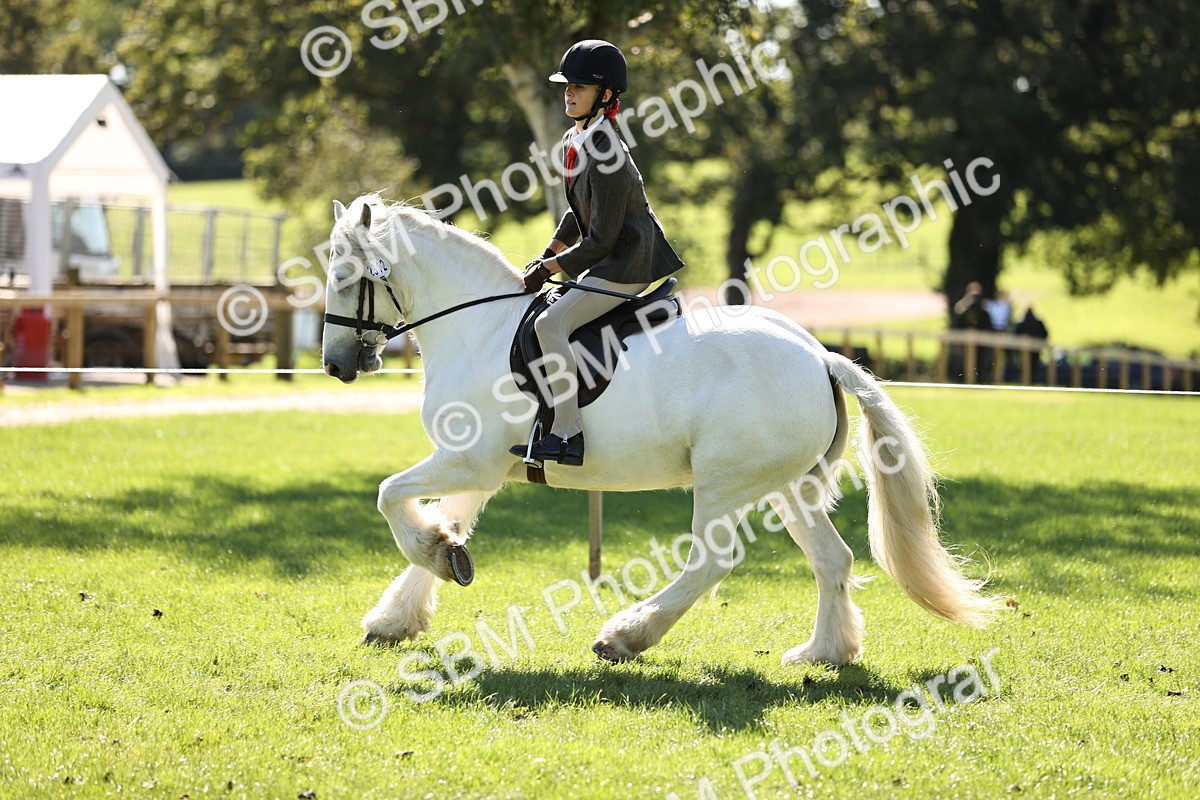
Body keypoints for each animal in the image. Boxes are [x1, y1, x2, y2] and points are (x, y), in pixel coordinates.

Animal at [321, 194, 998, 666]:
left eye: (344, 277)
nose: (335, 365)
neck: (478, 329)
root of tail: (819, 356)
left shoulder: (469, 462)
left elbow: (387, 495)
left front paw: (428, 564)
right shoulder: (479, 466)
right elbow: (446, 522)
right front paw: (415, 594)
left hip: (724, 481)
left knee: (712, 560)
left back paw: (624, 637)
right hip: (790, 487)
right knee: (833, 559)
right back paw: (825, 653)